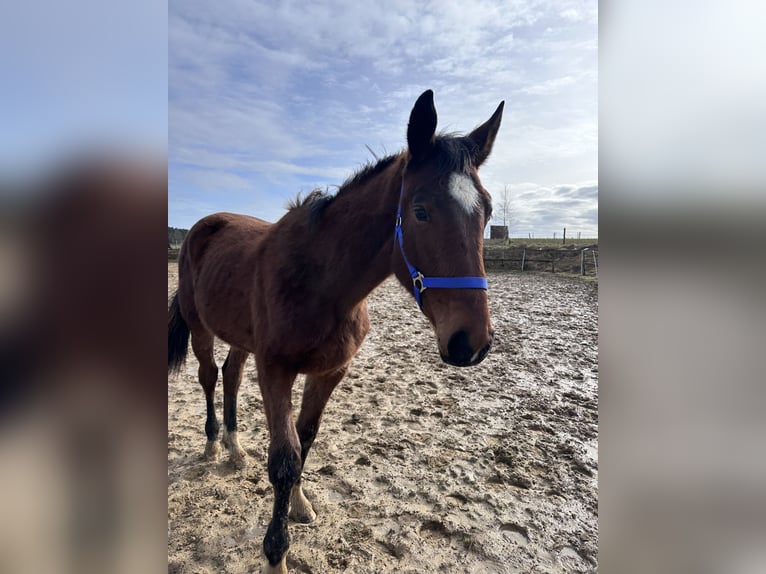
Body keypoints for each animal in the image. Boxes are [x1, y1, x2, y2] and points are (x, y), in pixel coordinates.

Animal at [168, 89, 504, 574]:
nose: (470, 342)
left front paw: (299, 503)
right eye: (420, 210)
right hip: (201, 328)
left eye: (487, 211)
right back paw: (213, 445)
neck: (321, 284)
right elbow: (284, 459)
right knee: (210, 376)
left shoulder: (329, 373)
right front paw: (275, 554)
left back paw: (234, 446)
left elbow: (305, 441)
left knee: (231, 375)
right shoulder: (276, 371)